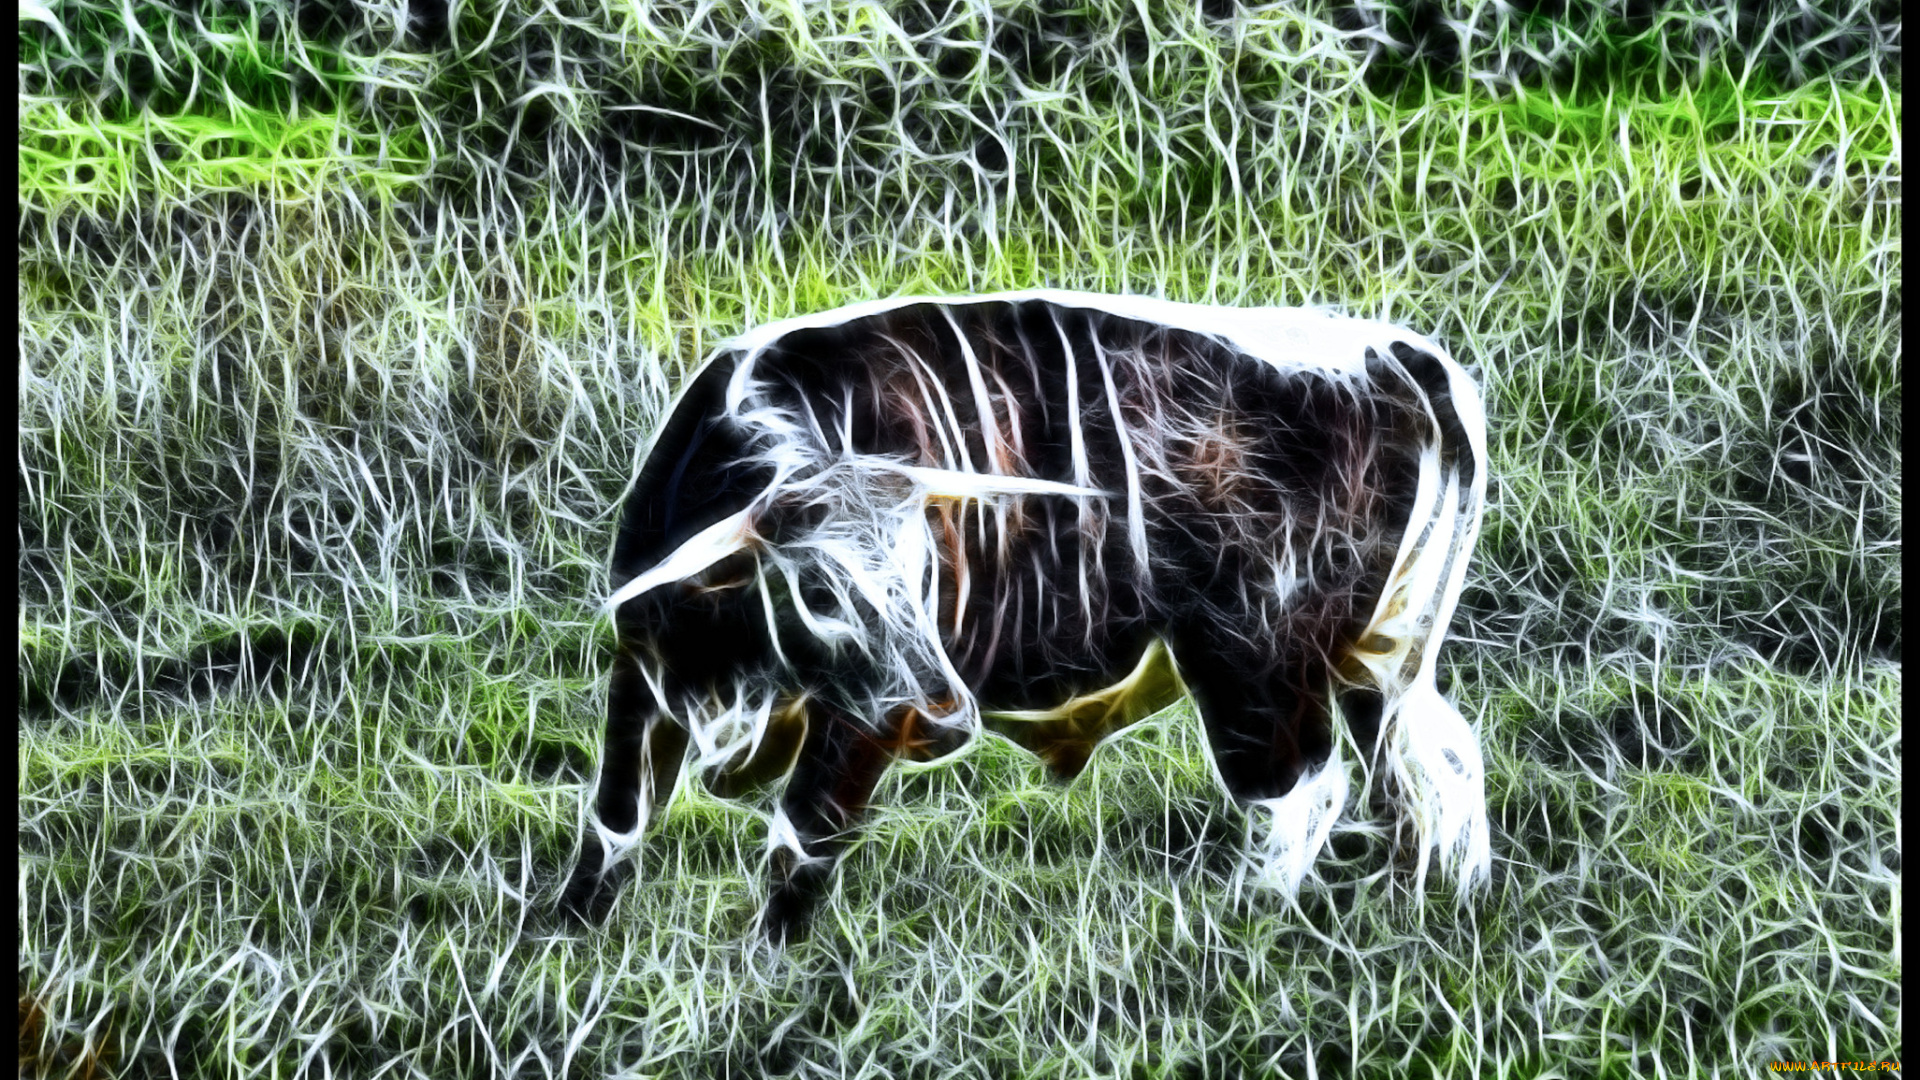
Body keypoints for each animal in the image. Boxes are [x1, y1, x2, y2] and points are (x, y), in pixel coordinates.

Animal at [562, 290, 1490, 942]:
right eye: (818, 590)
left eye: (927, 567)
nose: (944, 716)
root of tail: (1390, 351)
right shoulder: (641, 672)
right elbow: (614, 821)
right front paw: (568, 938)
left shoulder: (857, 724)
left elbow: (801, 843)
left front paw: (768, 972)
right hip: (1378, 661)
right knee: (1435, 767)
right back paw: (1435, 900)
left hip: (1255, 664)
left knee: (1305, 790)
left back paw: (1244, 921)